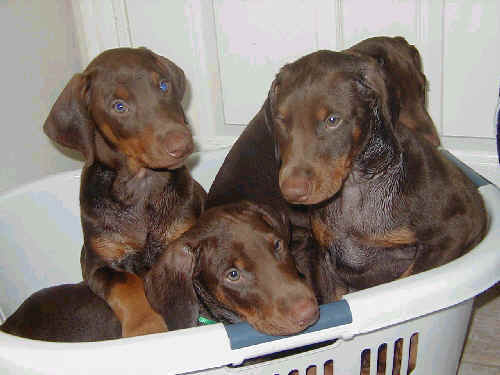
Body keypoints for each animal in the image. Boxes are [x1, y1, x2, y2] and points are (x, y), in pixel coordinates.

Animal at [43, 47, 206, 338]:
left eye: (163, 85)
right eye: (119, 106)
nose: (183, 144)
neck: (142, 187)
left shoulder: (182, 237)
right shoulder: (96, 262)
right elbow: (126, 283)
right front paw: (146, 326)